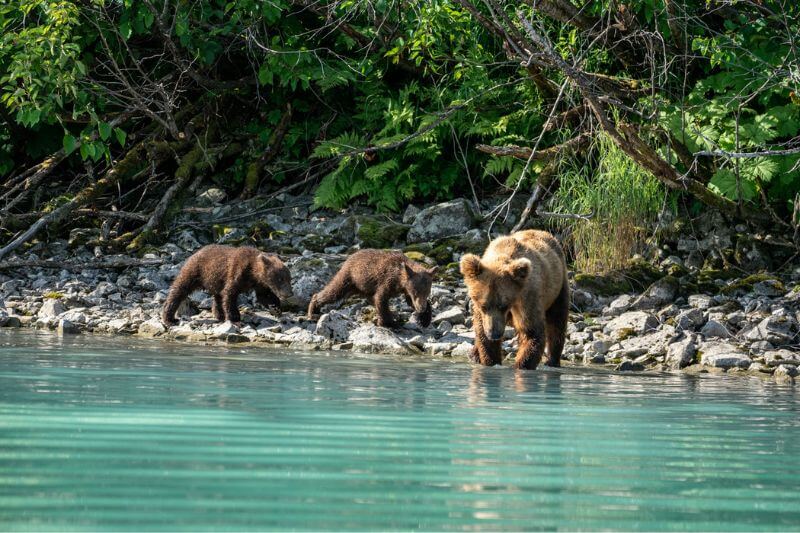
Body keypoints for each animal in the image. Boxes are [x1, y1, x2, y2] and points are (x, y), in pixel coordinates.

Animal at [161, 245, 292, 324]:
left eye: (289, 278)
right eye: (280, 279)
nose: (289, 294)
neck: (253, 272)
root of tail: (196, 252)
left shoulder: (260, 284)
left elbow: (264, 296)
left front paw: (275, 308)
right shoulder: (236, 272)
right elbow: (229, 294)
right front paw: (234, 317)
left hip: (215, 280)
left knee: (217, 297)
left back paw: (219, 315)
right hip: (195, 270)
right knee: (180, 288)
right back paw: (169, 317)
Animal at [308, 249, 438, 328]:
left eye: (427, 292)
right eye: (416, 292)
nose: (421, 308)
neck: (400, 279)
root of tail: (349, 257)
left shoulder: (405, 288)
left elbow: (409, 302)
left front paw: (425, 319)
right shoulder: (387, 281)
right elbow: (381, 298)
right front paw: (389, 323)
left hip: (361, 286)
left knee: (369, 298)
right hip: (349, 277)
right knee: (334, 291)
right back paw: (313, 309)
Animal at [456, 229, 568, 370]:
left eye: (503, 305)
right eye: (484, 306)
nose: (494, 334)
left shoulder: (527, 298)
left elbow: (531, 332)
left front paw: (521, 365)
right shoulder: (482, 312)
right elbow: (482, 333)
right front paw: (491, 361)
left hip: (558, 286)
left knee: (557, 320)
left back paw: (552, 361)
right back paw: (474, 355)